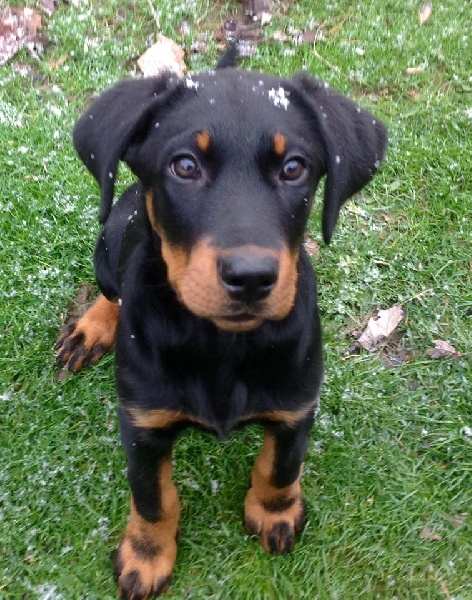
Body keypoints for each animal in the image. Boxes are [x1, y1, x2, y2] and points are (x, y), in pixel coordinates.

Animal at [56, 50, 388, 596]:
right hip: (109, 239)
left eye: (294, 168)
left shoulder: (296, 406)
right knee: (111, 289)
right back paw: (91, 328)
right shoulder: (142, 423)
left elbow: (280, 468)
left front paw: (275, 514)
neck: (222, 343)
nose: (250, 277)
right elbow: (153, 498)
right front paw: (146, 557)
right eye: (184, 165)